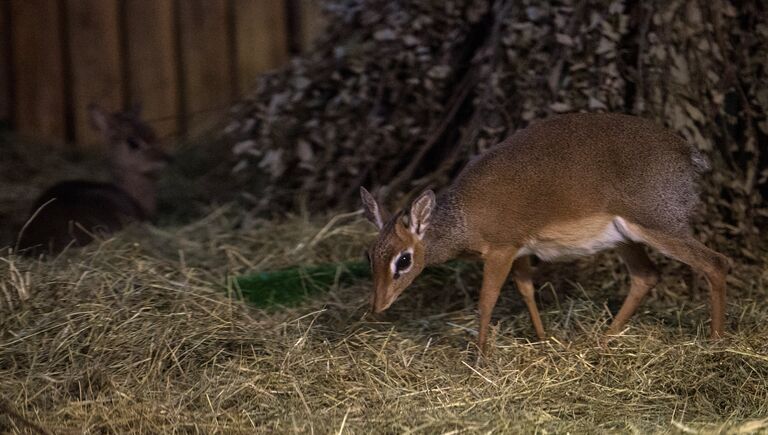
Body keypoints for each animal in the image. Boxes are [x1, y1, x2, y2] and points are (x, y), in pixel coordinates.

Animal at [362, 112, 732, 354]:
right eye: (370, 256)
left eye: (403, 260)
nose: (378, 305)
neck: (464, 220)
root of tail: (689, 155)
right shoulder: (520, 252)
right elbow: (526, 291)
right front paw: (542, 340)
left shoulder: (501, 249)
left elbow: (486, 300)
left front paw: (480, 356)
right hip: (625, 238)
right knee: (646, 276)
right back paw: (602, 340)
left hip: (659, 226)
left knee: (715, 262)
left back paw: (715, 343)